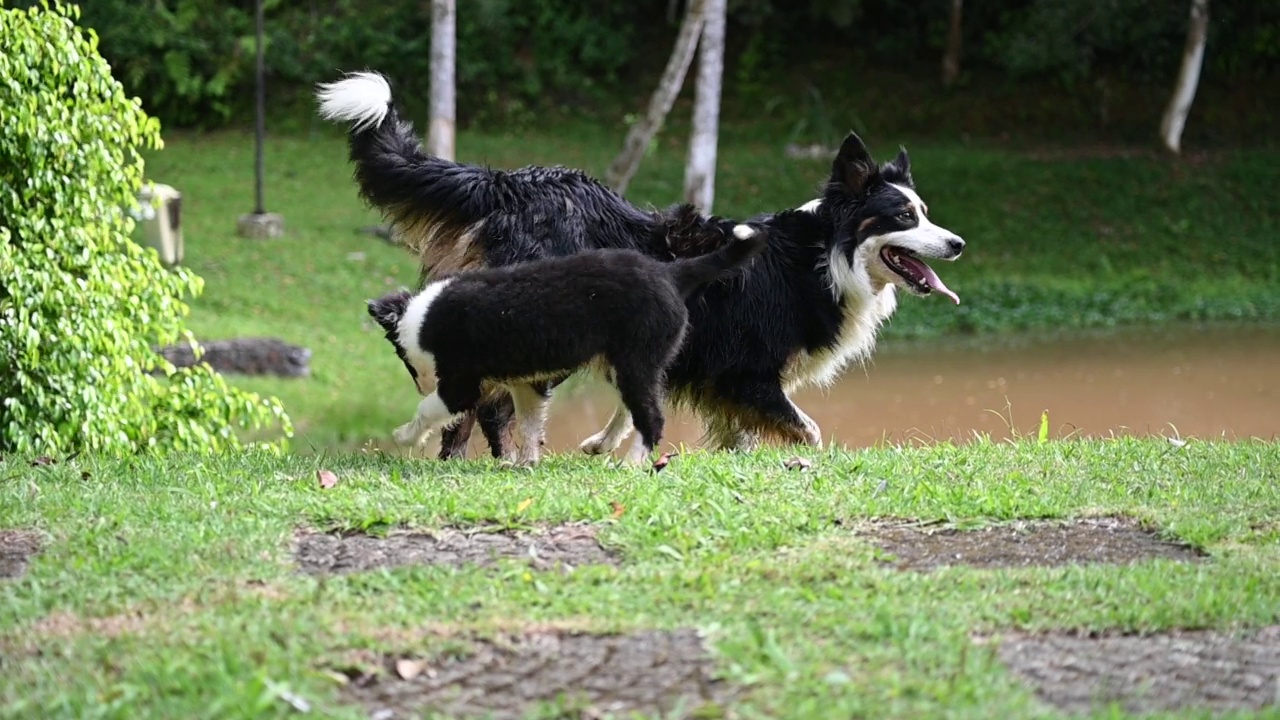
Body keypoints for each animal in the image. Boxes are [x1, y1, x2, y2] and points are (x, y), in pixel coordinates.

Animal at [366, 221, 762, 466]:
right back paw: (602, 443)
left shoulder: (461, 385)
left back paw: (631, 464)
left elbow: (429, 410)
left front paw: (404, 436)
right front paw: (525, 462)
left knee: (651, 416)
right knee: (630, 407)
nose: (421, 384)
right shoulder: (526, 382)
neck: (423, 318)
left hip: (635, 359)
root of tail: (670, 273)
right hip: (622, 362)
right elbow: (528, 423)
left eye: (403, 359)